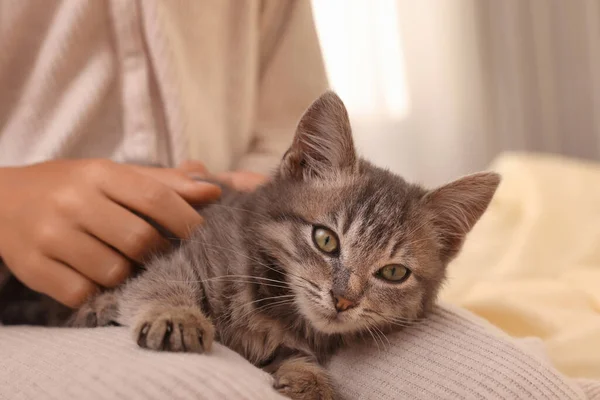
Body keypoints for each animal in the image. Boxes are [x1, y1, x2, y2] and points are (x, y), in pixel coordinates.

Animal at [71, 91, 502, 400]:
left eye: (393, 273)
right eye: (326, 239)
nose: (344, 299)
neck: (276, 305)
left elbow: (296, 356)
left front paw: (311, 380)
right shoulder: (187, 253)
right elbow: (161, 282)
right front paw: (176, 315)